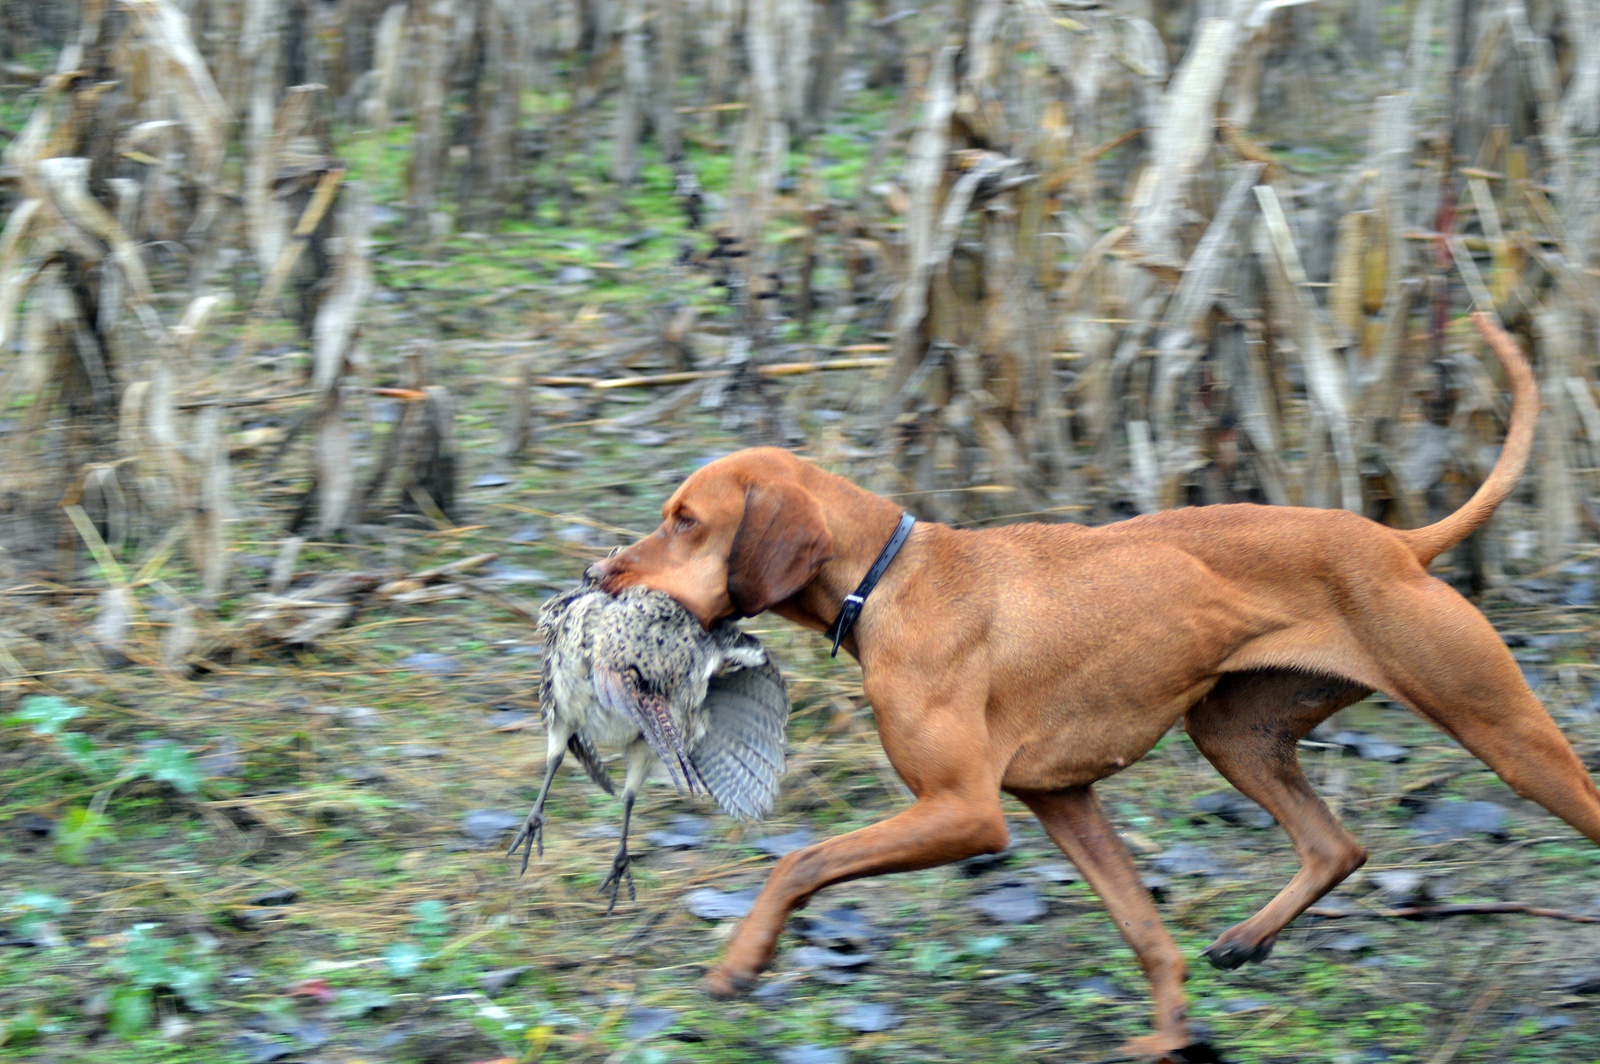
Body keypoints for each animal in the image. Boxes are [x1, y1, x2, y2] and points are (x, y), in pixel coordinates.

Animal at [588, 313, 1600, 1056]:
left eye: (686, 521)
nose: (599, 573)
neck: (890, 577)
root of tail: (1398, 544)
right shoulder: (1063, 799)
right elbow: (1144, 929)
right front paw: (1168, 1038)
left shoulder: (966, 810)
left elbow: (798, 861)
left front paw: (740, 964)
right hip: (1235, 735)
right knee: (1335, 845)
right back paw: (1248, 939)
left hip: (1506, 735)